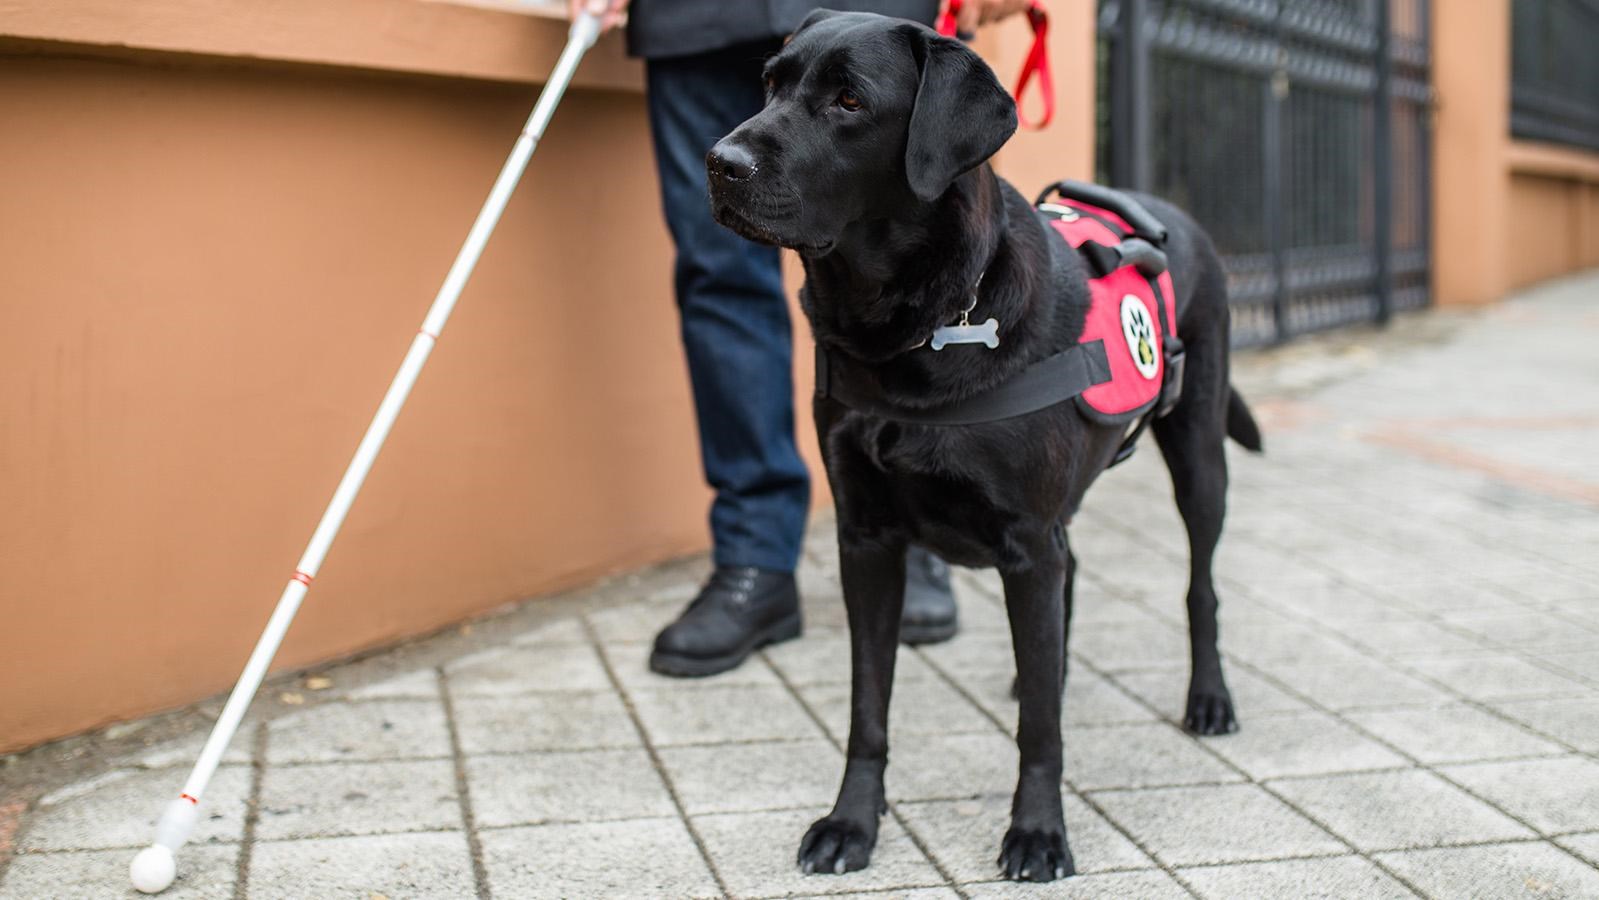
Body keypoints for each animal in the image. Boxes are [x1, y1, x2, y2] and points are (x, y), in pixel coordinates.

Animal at [706, 10, 1253, 888]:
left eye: (849, 101)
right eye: (769, 82)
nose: (720, 162)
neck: (915, 330)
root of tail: (1173, 213)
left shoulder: (1026, 543)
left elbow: (1040, 731)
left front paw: (1037, 833)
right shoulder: (867, 541)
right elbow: (867, 706)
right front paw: (850, 824)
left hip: (1198, 456)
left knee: (1199, 586)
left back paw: (1208, 700)